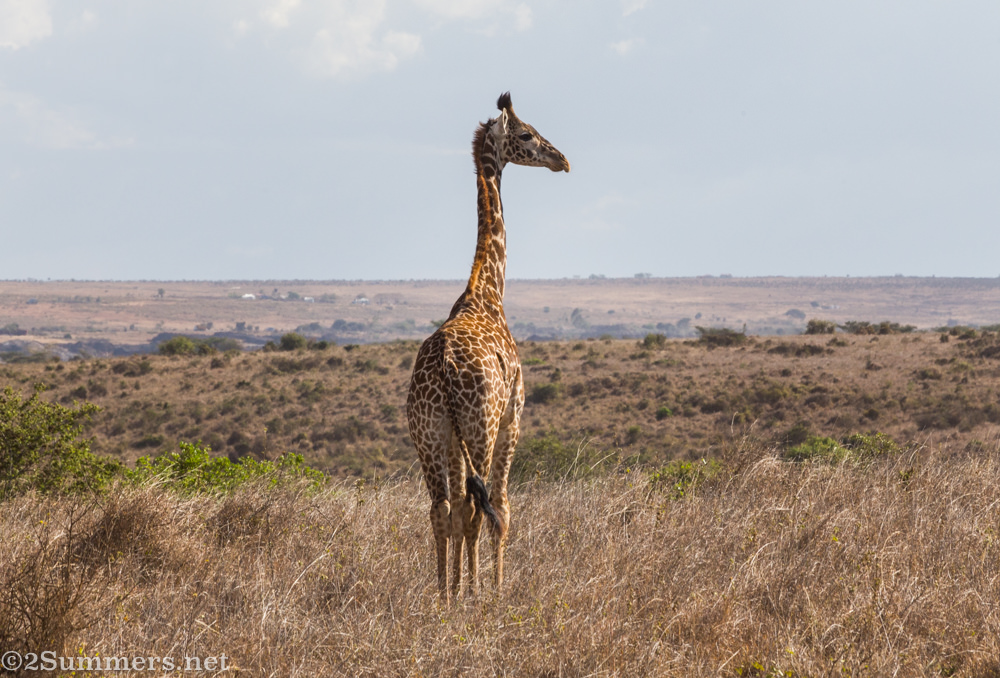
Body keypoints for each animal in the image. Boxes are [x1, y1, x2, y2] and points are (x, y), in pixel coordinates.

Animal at [406, 92, 570, 602]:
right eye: (526, 134)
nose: (562, 160)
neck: (488, 291)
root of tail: (442, 367)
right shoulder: (514, 415)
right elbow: (502, 506)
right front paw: (493, 588)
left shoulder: (449, 435)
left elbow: (460, 506)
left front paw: (460, 586)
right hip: (481, 427)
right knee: (480, 507)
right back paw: (474, 593)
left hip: (428, 433)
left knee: (443, 507)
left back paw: (444, 595)